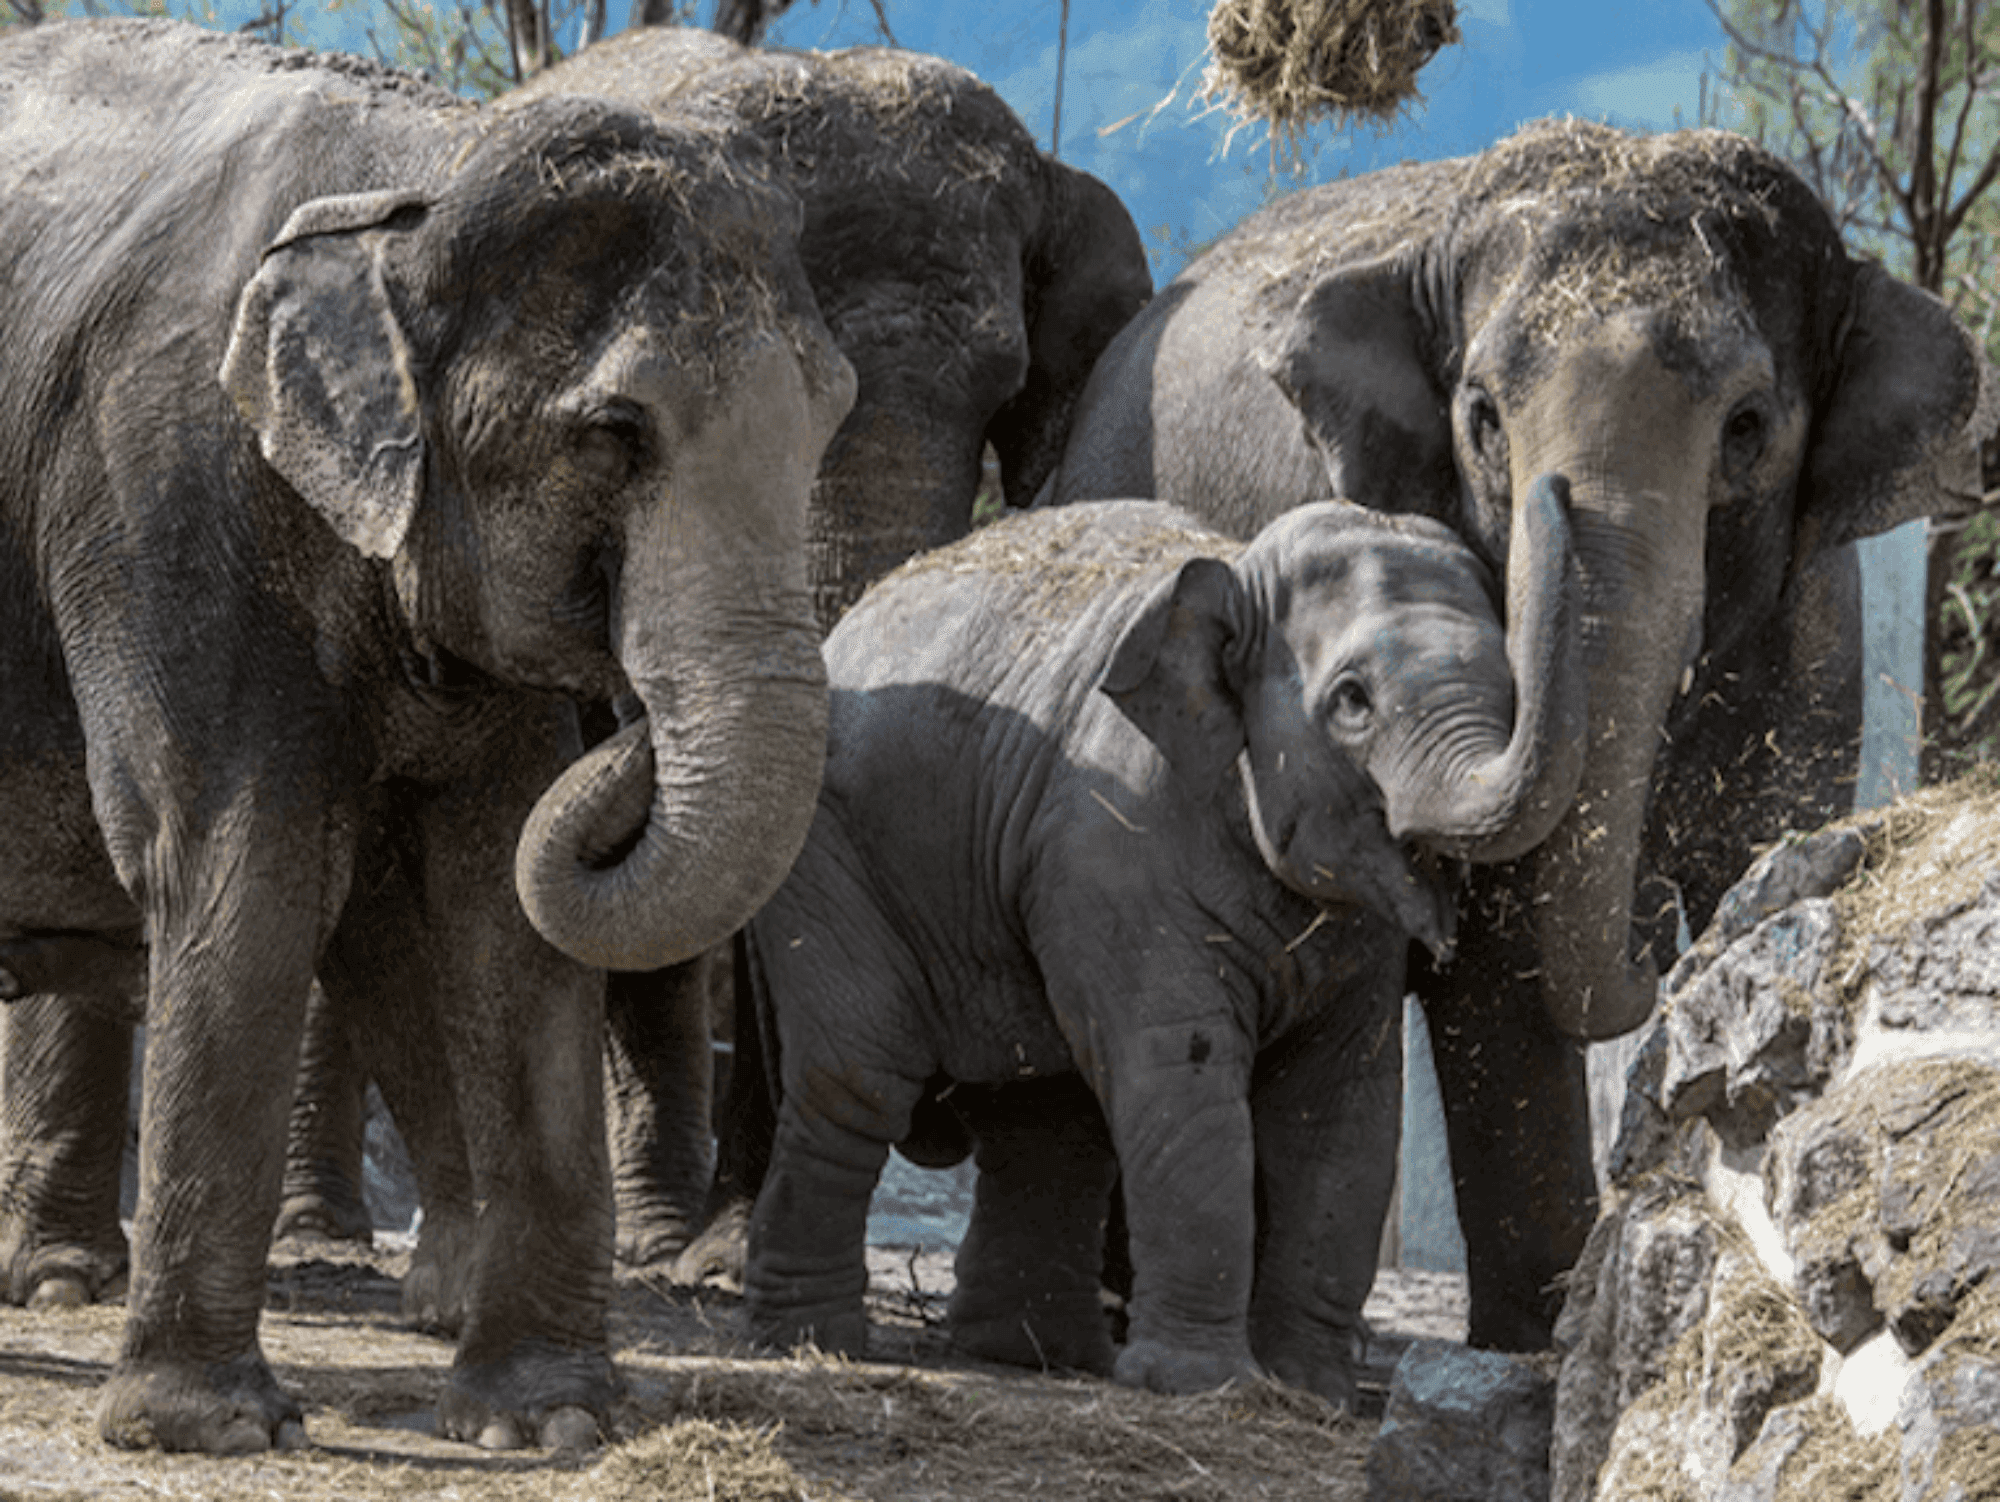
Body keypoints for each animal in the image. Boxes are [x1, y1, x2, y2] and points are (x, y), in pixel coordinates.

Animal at [0, 17, 853, 1455]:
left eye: (834, 413)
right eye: (614, 434)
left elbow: (498, 898)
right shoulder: (159, 484)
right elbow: (243, 866)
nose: (623, 713)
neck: (423, 173)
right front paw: (210, 1427)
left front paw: (542, 1418)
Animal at [744, 477, 1584, 1410]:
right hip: (828, 855)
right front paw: (1201, 1387)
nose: (1557, 489)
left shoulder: (1353, 933)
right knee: (859, 1080)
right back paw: (814, 1344)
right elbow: (1182, 1077)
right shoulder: (1117, 846)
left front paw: (1309, 1391)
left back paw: (1033, 1355)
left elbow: (1344, 1116)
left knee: (1048, 1111)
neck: (1238, 575)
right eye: (1352, 701)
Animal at [1048, 117, 1994, 1350]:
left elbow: (1761, 845)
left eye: (1746, 428)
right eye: (1484, 420)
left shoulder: (1817, 630)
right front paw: (1538, 1346)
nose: (1652, 937)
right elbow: (1500, 952)